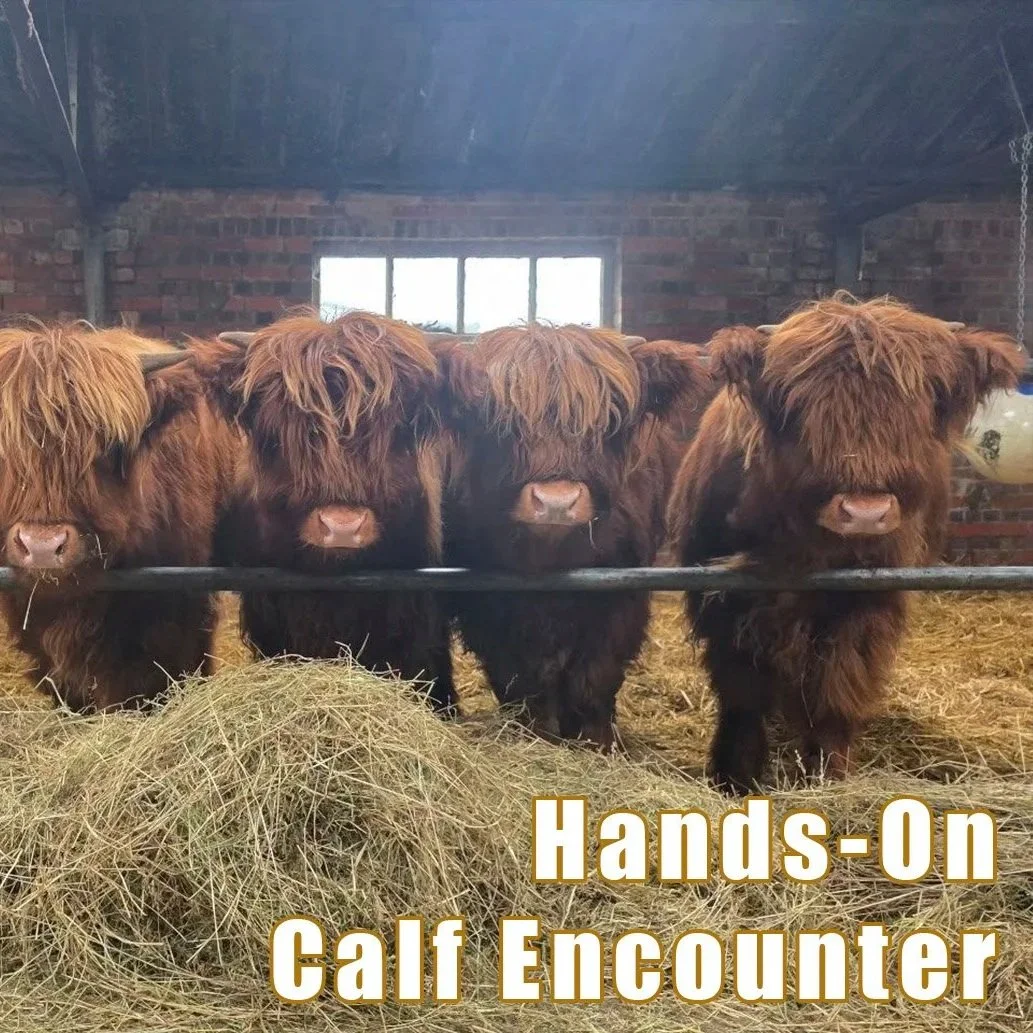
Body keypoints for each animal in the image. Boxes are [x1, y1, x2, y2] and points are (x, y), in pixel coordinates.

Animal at [437, 323, 712, 746]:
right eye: (500, 422)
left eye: (609, 422)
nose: (556, 501)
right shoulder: (488, 601)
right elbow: (521, 677)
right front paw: (538, 732)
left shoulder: (622, 590)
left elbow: (595, 675)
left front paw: (597, 740)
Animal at [666, 294, 1024, 792]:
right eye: (798, 405)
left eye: (921, 406)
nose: (865, 512)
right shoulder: (725, 604)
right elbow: (743, 695)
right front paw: (736, 777)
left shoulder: (864, 606)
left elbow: (836, 692)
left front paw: (828, 773)